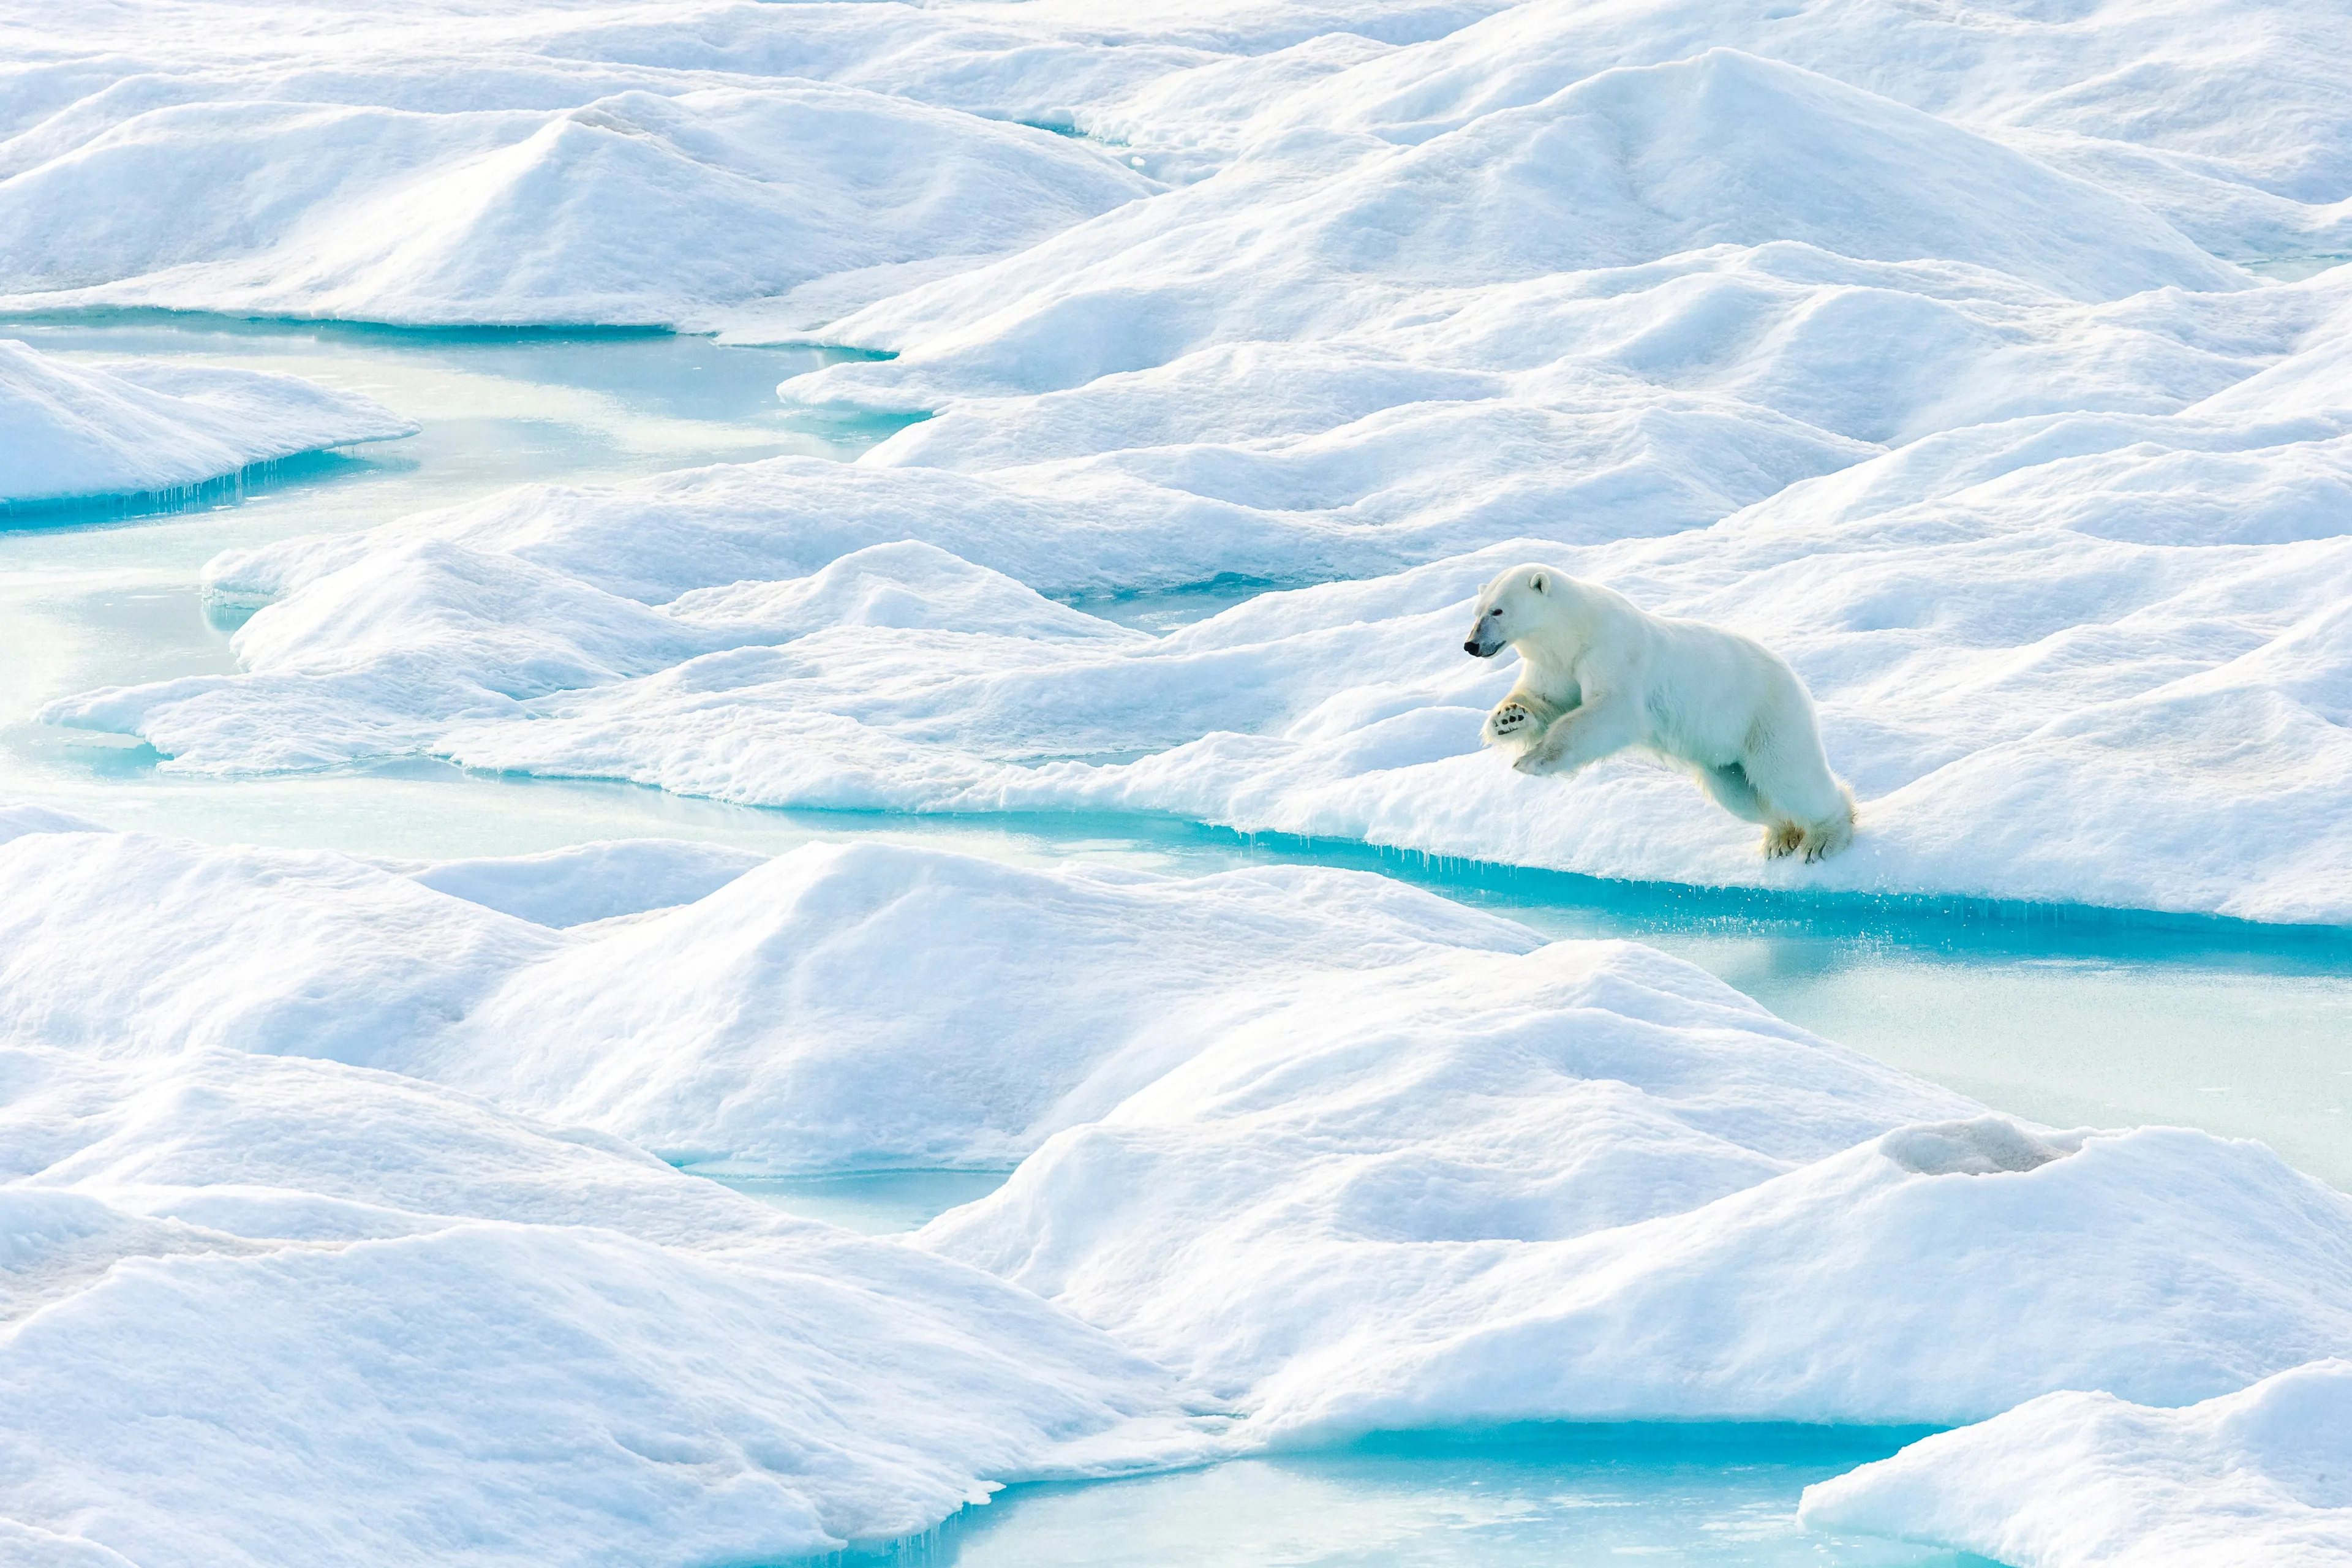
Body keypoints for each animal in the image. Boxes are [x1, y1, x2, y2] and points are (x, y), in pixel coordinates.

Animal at [1462, 562, 1856, 861]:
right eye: (1477, 611)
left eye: (1498, 611)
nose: (1471, 645)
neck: (1574, 630)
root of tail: (1796, 679)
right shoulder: (1556, 663)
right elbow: (1546, 699)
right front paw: (1508, 718)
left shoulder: (1613, 651)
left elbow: (1611, 711)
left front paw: (1533, 760)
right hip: (1722, 758)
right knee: (1741, 795)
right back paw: (1781, 836)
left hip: (1767, 716)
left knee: (1789, 776)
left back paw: (1824, 837)